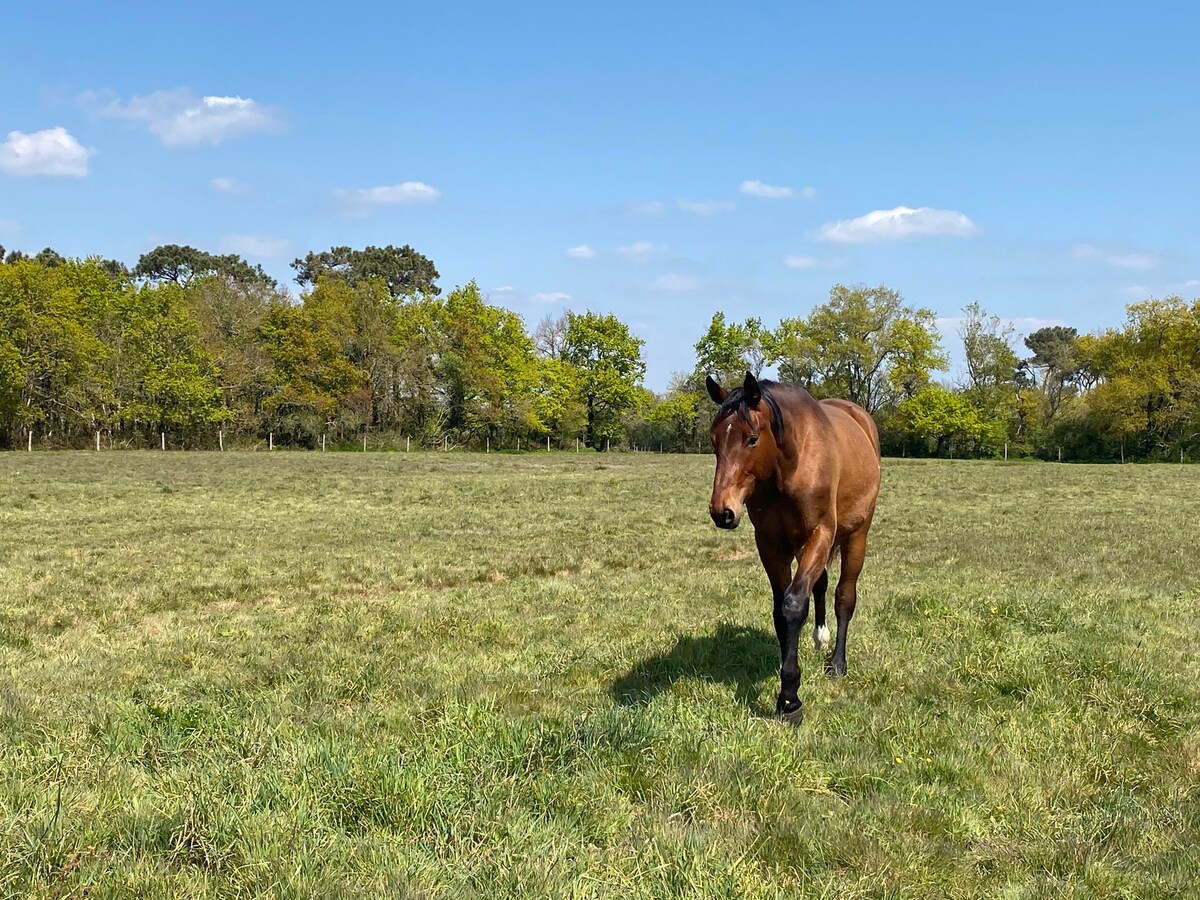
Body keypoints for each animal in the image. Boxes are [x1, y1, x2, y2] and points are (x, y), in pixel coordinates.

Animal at [700, 372, 883, 724]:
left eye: (751, 439)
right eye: (714, 440)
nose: (722, 512)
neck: (789, 466)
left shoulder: (820, 534)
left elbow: (794, 604)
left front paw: (789, 699)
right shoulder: (772, 544)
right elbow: (780, 609)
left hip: (856, 535)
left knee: (844, 596)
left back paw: (837, 663)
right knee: (821, 584)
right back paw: (820, 637)